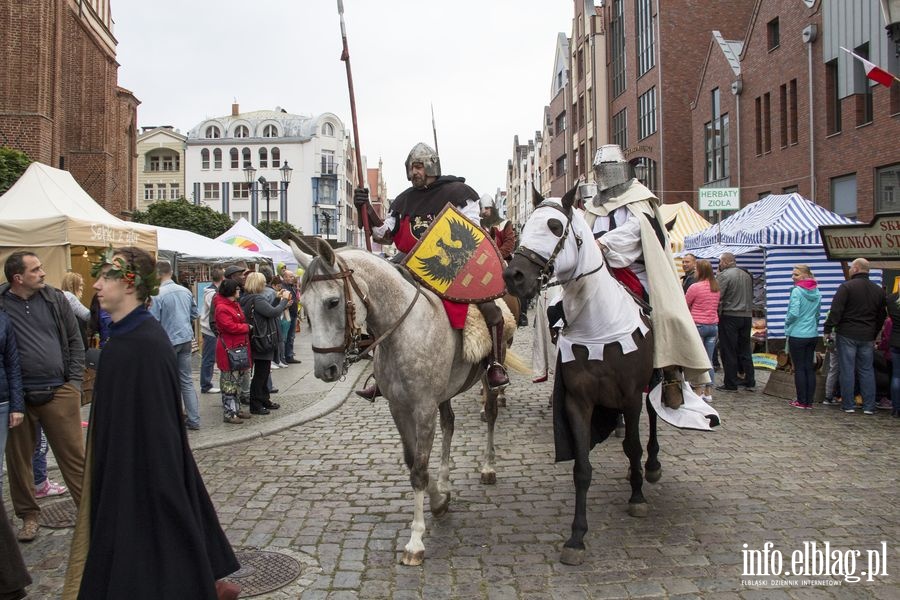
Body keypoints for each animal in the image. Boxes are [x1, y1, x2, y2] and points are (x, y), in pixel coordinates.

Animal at [288, 240, 512, 568]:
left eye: (332, 302)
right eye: (303, 303)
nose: (324, 370)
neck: (405, 332)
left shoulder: (423, 408)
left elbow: (418, 470)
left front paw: (416, 541)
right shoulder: (399, 408)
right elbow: (412, 461)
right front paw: (439, 499)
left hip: (488, 375)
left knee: (491, 414)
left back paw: (488, 466)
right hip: (445, 394)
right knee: (449, 425)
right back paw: (445, 482)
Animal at [352, 143, 506, 400]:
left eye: (419, 165)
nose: (414, 173)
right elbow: (386, 231)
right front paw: (360, 199)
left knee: (494, 317)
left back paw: (496, 373)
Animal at [502, 189, 656, 568]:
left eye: (555, 226)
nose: (514, 276)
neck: (598, 322)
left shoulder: (632, 395)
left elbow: (632, 445)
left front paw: (637, 496)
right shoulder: (578, 402)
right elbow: (582, 468)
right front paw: (576, 537)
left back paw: (652, 466)